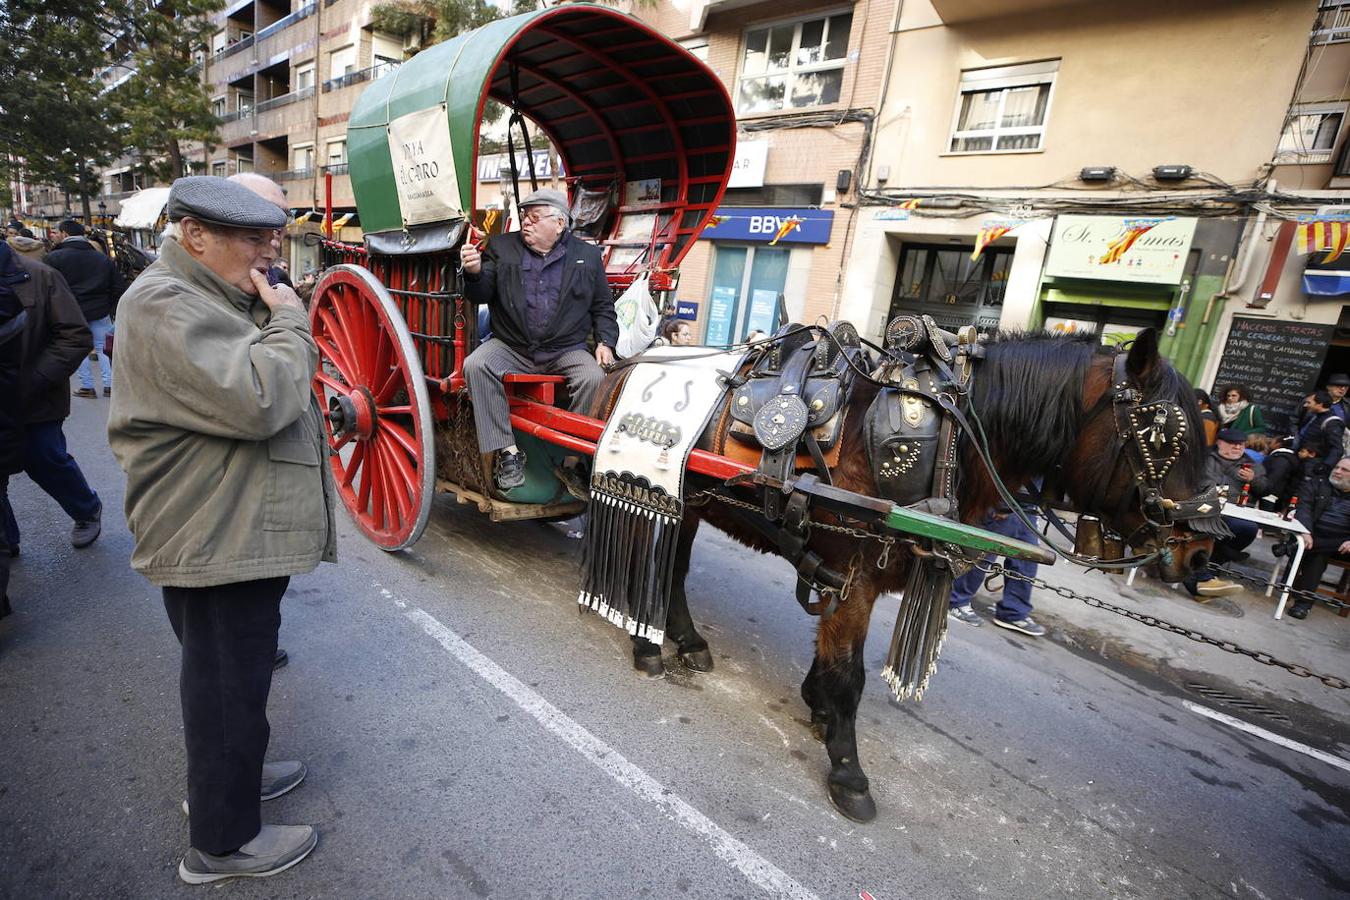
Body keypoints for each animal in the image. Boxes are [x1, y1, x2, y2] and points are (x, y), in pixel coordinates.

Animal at [591, 325, 1215, 825]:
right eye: (1166, 433)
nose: (1202, 549)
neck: (955, 440)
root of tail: (624, 364)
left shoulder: (850, 576)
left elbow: (830, 657)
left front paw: (818, 708)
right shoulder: (857, 576)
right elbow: (851, 676)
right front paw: (848, 771)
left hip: (692, 499)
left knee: (672, 569)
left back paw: (682, 639)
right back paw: (646, 643)